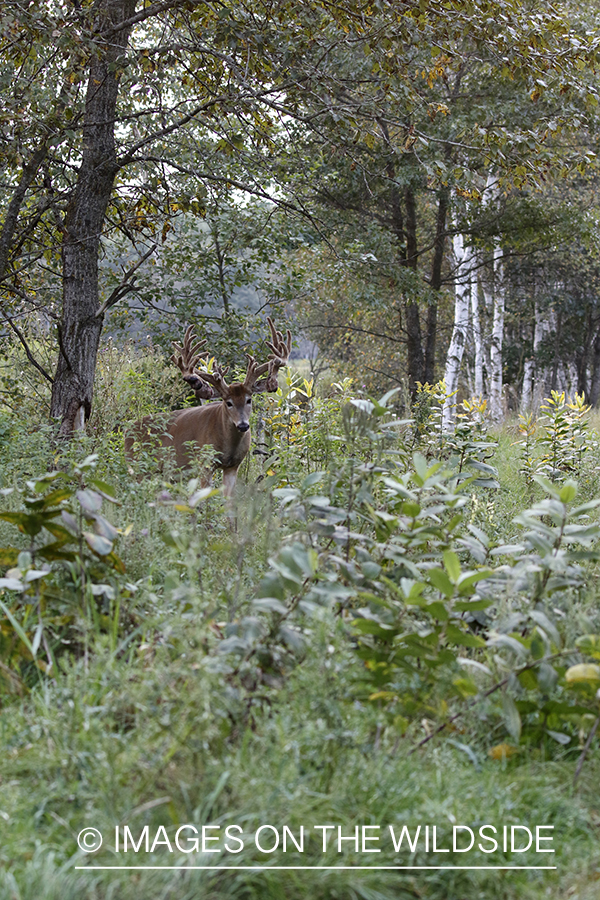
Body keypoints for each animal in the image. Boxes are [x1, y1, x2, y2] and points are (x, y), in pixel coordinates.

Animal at [126, 318, 292, 500]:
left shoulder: (233, 466)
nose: (243, 425)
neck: (227, 445)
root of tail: (128, 429)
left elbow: (228, 502)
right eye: (228, 402)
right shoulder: (204, 462)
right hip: (137, 464)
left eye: (249, 399)